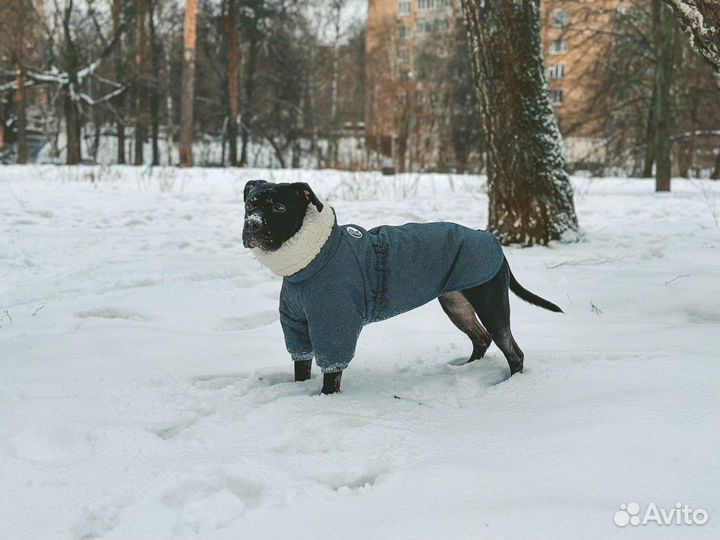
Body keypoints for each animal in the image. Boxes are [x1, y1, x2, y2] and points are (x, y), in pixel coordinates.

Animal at [242, 179, 564, 394]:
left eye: (279, 207)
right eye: (250, 204)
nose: (252, 225)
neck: (310, 262)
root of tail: (488, 237)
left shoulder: (334, 329)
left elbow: (331, 375)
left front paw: (325, 401)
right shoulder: (297, 327)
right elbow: (301, 366)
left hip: (491, 305)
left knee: (513, 352)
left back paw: (508, 388)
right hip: (455, 302)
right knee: (480, 339)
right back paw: (466, 369)